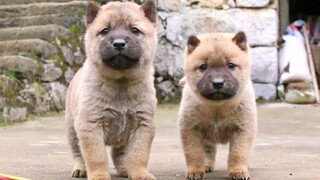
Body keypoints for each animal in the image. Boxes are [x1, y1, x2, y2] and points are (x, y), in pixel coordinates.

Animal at [65, 0, 158, 179]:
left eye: (134, 30)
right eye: (105, 31)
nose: (119, 43)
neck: (121, 82)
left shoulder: (142, 125)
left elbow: (138, 155)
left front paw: (140, 173)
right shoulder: (90, 125)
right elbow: (96, 156)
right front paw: (99, 175)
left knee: (119, 154)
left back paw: (125, 169)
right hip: (72, 129)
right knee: (78, 153)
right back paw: (80, 169)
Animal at [180, 31, 258, 179]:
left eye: (231, 65)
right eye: (203, 67)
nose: (218, 83)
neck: (218, 107)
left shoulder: (242, 129)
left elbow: (238, 153)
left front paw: (238, 171)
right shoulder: (191, 129)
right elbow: (194, 153)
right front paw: (195, 171)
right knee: (208, 150)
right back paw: (206, 165)